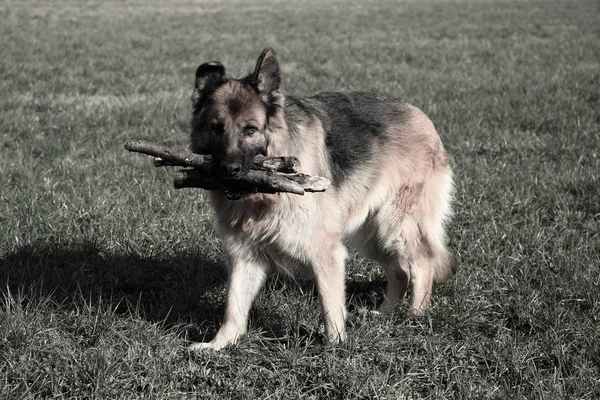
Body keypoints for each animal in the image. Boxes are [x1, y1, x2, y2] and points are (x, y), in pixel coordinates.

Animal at [188, 49, 454, 350]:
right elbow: (234, 305)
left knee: (422, 263)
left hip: (395, 225)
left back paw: (414, 316)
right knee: (399, 270)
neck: (263, 197)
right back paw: (386, 313)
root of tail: (421, 116)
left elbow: (330, 306)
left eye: (250, 129)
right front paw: (219, 344)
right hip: (370, 234)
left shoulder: (326, 253)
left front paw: (336, 347)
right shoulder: (245, 254)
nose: (229, 170)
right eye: (217, 128)